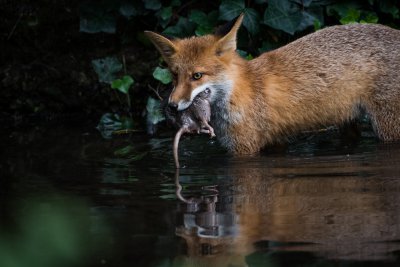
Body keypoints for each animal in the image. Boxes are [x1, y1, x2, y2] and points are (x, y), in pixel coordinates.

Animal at [146, 14, 400, 155]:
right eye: (174, 76)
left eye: (197, 76)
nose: (171, 106)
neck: (242, 91)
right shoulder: (275, 143)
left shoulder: (244, 149)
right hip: (348, 122)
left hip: (388, 129)